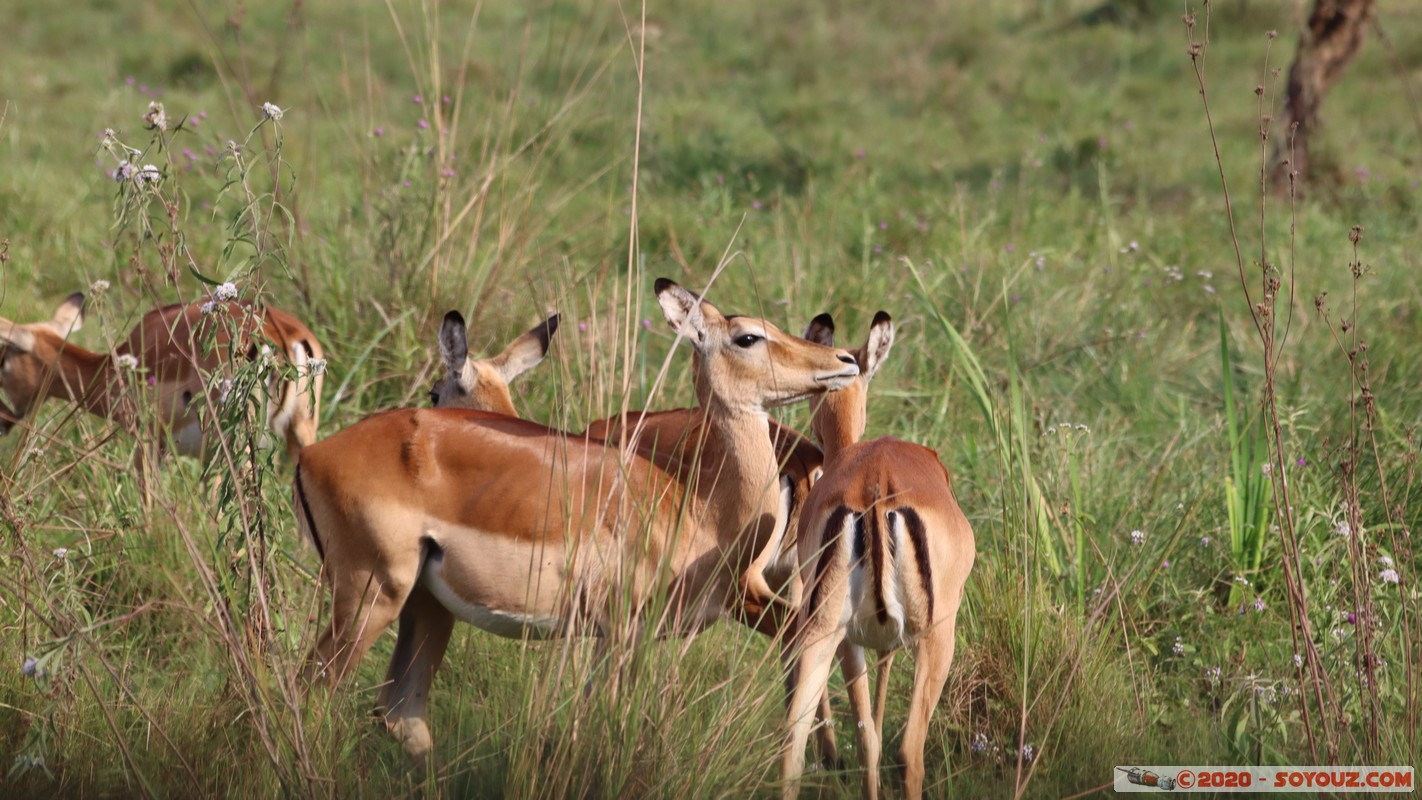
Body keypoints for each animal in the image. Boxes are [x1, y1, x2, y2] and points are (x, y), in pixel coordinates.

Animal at [294, 278, 858, 761]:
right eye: (748, 336)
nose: (845, 359)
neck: (697, 507)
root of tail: (313, 454)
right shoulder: (620, 632)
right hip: (373, 595)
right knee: (315, 692)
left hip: (422, 605)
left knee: (399, 713)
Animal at [779, 311, 978, 800]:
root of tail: (877, 485)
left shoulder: (867, 640)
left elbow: (870, 725)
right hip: (931, 637)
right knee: (906, 751)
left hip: (824, 630)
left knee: (796, 744)